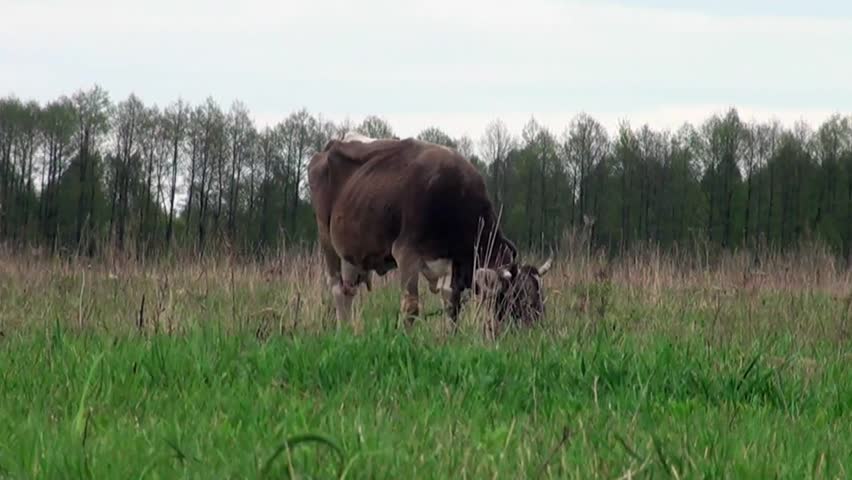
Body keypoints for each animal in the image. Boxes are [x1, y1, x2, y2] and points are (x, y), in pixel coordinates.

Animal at [307, 133, 552, 329]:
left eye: (540, 294)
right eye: (517, 295)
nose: (538, 327)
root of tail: (332, 145)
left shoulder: (454, 267)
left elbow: (453, 308)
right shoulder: (407, 252)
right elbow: (411, 307)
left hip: (353, 256)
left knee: (349, 291)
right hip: (328, 242)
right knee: (338, 290)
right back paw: (343, 332)